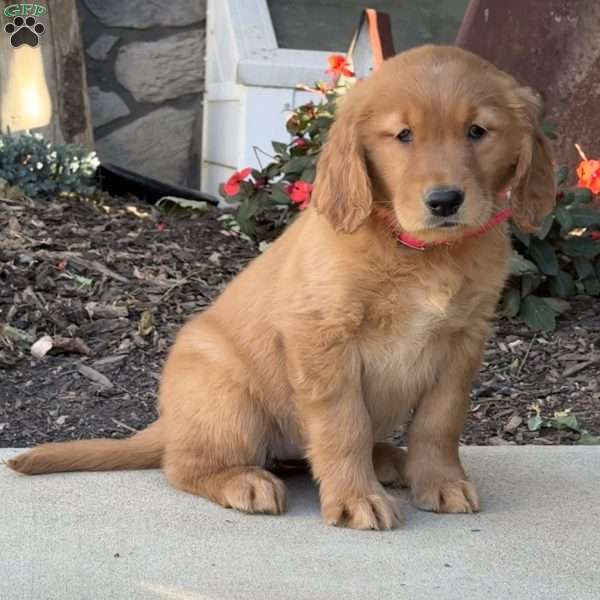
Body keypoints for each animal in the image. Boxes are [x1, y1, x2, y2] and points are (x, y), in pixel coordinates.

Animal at [7, 45, 556, 528]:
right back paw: (244, 481)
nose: (444, 201)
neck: (421, 253)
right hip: (229, 399)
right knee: (183, 466)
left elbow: (440, 423)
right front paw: (355, 499)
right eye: (403, 135)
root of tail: (170, 423)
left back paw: (387, 459)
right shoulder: (322, 337)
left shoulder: (463, 341)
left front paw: (440, 483)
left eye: (477, 131)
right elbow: (342, 425)